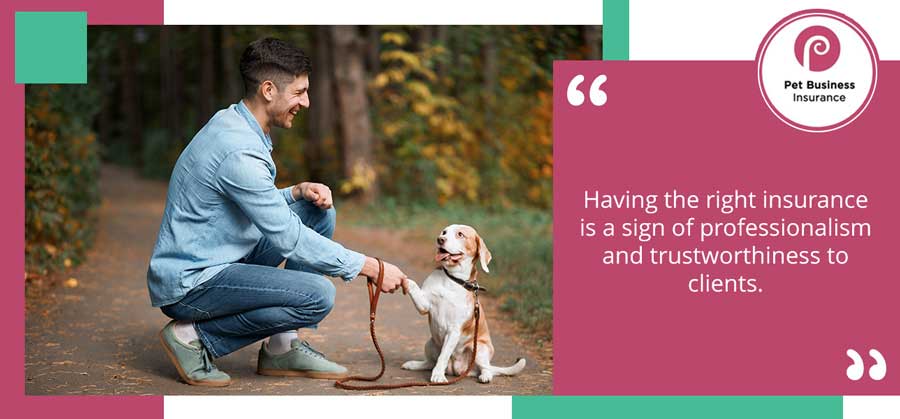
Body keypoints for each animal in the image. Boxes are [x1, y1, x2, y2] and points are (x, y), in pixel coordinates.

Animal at [402, 225, 524, 386]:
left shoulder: (454, 330)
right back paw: (414, 364)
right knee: (429, 362)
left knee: (486, 368)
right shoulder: (424, 305)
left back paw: (485, 376)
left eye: (460, 234)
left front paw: (438, 376)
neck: (452, 279)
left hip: (479, 349)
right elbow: (412, 284)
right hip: (430, 343)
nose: (440, 239)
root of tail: (456, 369)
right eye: (444, 232)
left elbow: (443, 356)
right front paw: (400, 278)